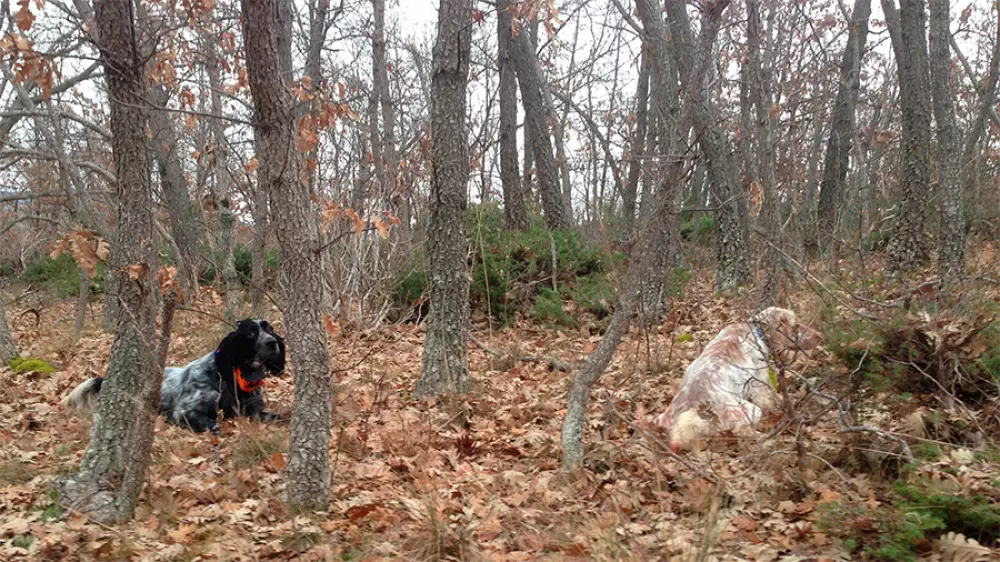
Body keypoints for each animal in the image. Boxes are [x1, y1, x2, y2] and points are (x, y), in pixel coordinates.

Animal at [64, 320, 286, 434]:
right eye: (251, 333)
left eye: (270, 329)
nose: (273, 342)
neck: (231, 375)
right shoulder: (184, 411)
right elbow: (212, 424)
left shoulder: (255, 409)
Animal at [656, 306, 820, 450]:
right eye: (796, 325)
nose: (820, 335)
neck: (756, 331)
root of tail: (692, 405)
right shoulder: (760, 383)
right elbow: (771, 399)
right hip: (749, 410)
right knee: (744, 432)